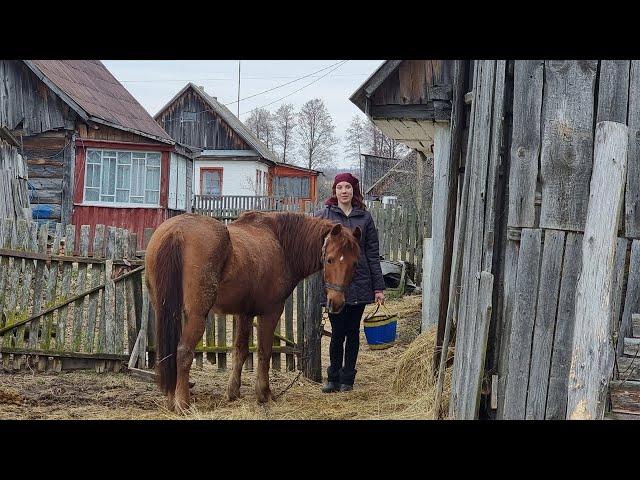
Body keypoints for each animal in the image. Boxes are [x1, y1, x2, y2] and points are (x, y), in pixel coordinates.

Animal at [146, 212, 362, 410]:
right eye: (330, 260)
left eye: (355, 263)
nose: (336, 302)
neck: (281, 244)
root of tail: (176, 232)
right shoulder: (270, 314)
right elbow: (264, 353)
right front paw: (264, 393)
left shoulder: (245, 314)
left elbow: (240, 351)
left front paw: (233, 392)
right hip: (197, 316)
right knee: (184, 352)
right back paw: (183, 404)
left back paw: (172, 399)